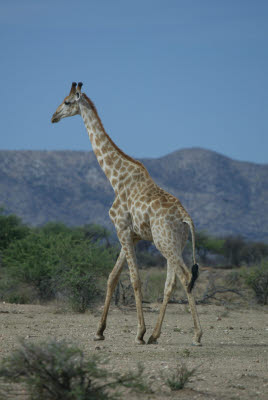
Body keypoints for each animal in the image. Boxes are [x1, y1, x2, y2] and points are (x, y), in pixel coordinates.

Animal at [51, 81, 202, 344]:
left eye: (67, 102)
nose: (53, 117)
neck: (115, 178)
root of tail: (186, 219)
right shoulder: (131, 235)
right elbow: (112, 277)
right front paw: (99, 332)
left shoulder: (121, 227)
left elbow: (134, 279)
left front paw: (138, 333)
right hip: (176, 244)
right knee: (172, 283)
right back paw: (155, 335)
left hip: (164, 242)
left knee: (184, 278)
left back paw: (195, 335)